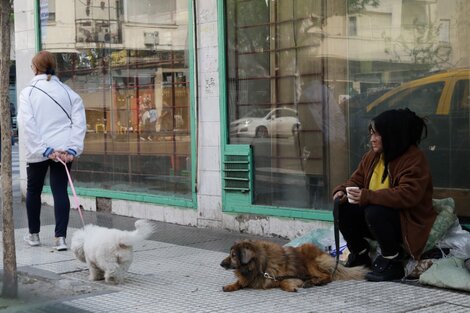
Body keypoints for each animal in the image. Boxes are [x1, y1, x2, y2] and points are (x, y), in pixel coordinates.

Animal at [220, 239, 368, 292]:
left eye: (233, 255)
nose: (221, 264)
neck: (259, 265)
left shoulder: (287, 276)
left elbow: (283, 282)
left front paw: (291, 287)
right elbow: (240, 282)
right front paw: (230, 286)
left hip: (309, 259)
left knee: (327, 275)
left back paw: (315, 282)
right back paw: (310, 282)